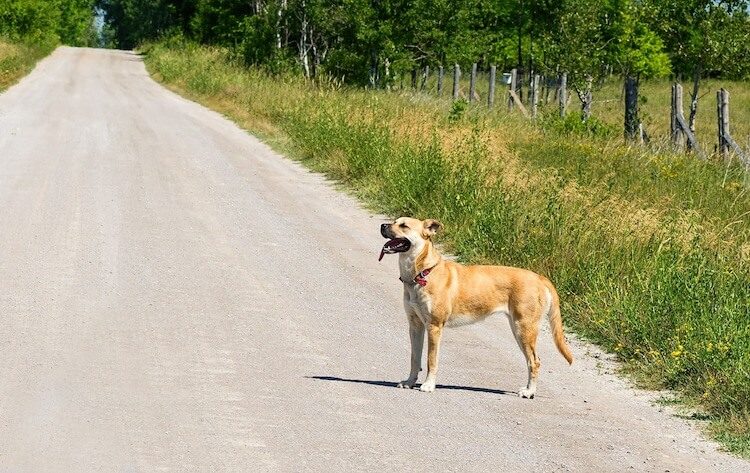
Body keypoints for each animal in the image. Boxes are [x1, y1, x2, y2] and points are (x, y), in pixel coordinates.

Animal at [382, 216, 576, 396]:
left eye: (404, 226)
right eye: (395, 221)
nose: (383, 226)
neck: (423, 272)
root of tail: (540, 278)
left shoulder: (434, 327)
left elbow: (431, 360)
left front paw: (428, 385)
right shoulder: (415, 325)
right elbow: (415, 358)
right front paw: (409, 382)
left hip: (524, 329)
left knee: (534, 362)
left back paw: (529, 392)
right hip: (518, 329)